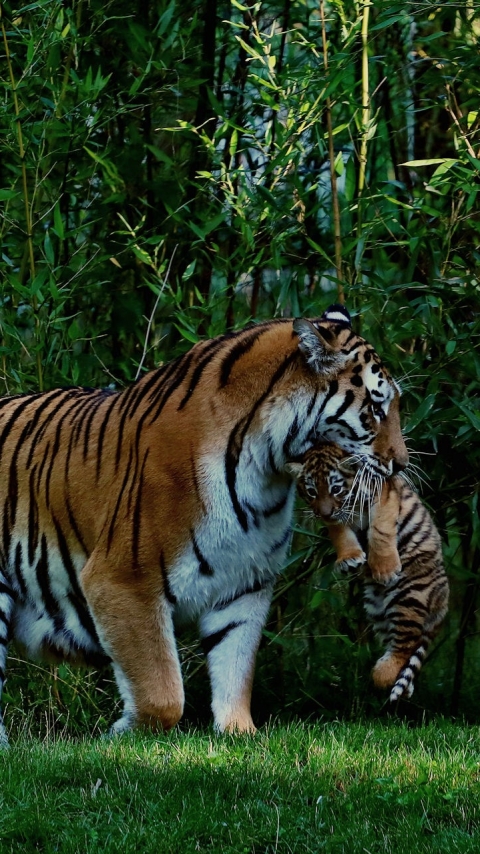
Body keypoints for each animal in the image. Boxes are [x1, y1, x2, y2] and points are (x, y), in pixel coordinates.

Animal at [0, 302, 406, 744]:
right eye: (376, 408)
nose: (402, 464)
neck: (264, 470)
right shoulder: (122, 581)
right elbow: (162, 694)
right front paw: (121, 733)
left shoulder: (244, 585)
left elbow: (235, 669)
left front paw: (239, 733)